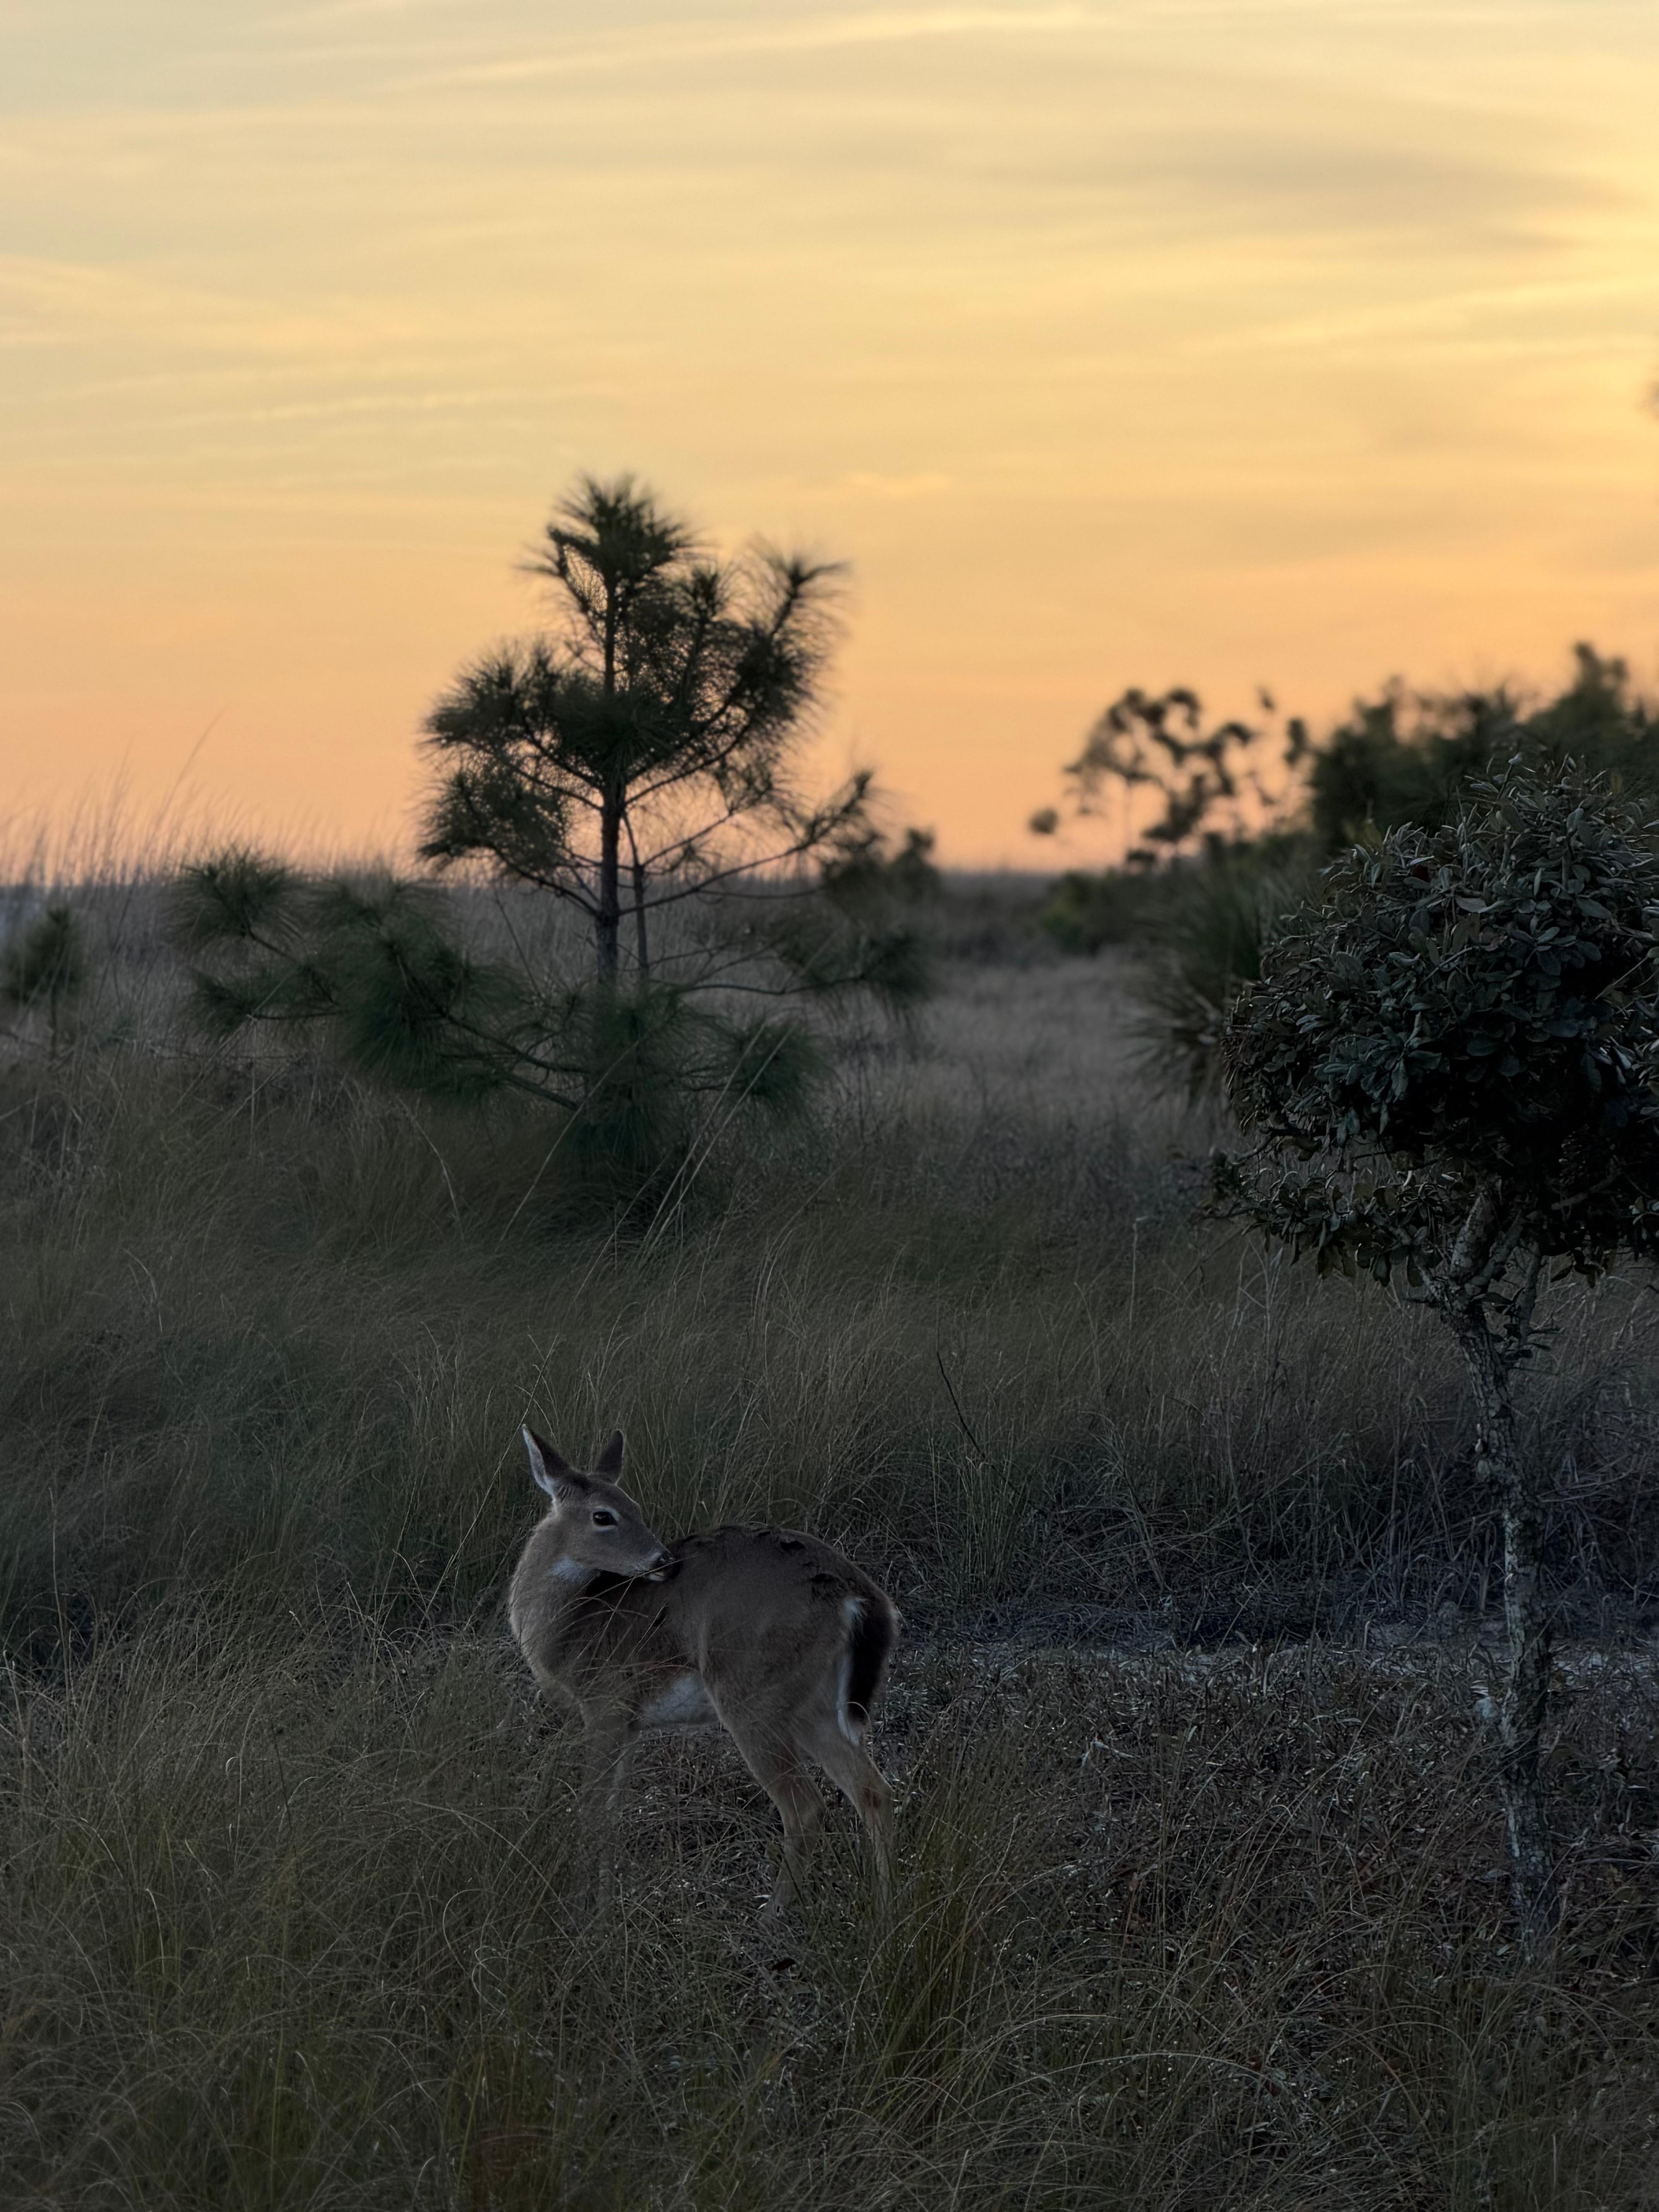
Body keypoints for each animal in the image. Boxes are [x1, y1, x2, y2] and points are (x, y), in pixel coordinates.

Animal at [507, 1425, 899, 1919]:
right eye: (604, 1515)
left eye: (634, 1507)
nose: (662, 1561)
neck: (569, 1628)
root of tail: (859, 1596)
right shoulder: (630, 1724)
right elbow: (613, 1814)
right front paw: (607, 1901)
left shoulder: (605, 1704)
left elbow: (592, 1810)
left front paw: (583, 1908)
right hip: (814, 1705)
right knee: (873, 1791)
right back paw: (886, 1906)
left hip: (751, 1695)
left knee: (805, 1807)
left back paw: (771, 1916)